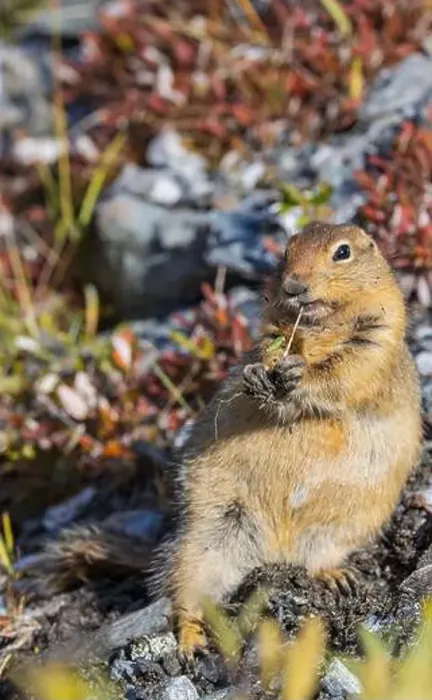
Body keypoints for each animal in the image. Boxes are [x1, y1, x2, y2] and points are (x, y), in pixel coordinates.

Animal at [33, 222, 422, 660]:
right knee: (183, 596)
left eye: (342, 253)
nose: (293, 286)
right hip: (206, 540)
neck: (318, 324)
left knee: (315, 560)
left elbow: (345, 372)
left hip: (339, 530)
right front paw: (258, 374)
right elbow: (264, 356)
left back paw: (337, 576)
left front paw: (296, 375)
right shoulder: (271, 330)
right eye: (285, 252)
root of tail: (277, 551)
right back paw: (191, 643)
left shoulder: (377, 339)